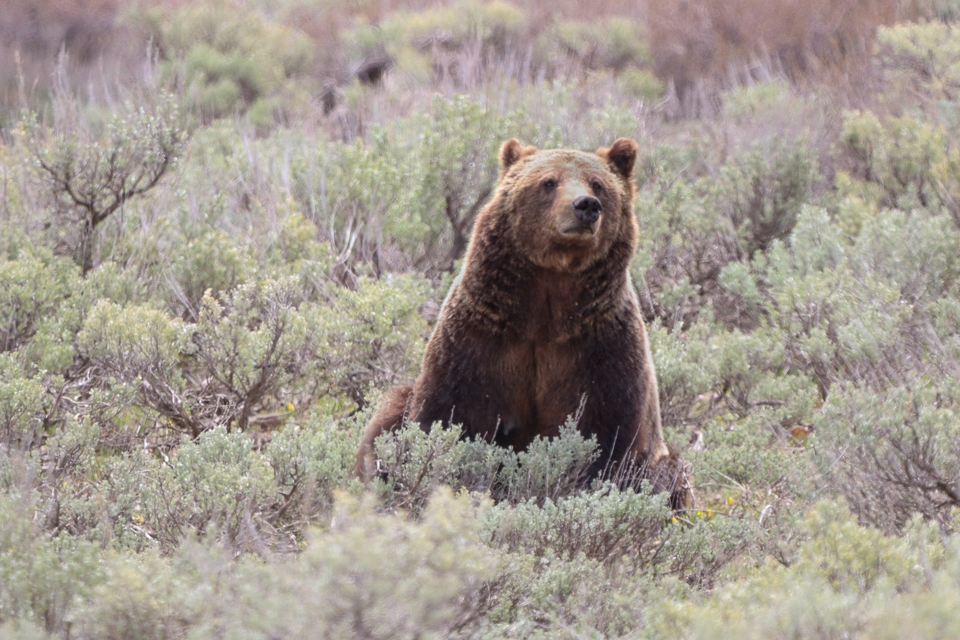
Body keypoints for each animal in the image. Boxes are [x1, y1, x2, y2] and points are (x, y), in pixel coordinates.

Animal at [354, 139, 688, 504]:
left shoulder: (603, 346)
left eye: (598, 184)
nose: (586, 205)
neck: (547, 303)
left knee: (671, 472)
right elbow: (450, 415)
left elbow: (610, 435)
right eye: (548, 182)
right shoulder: (481, 337)